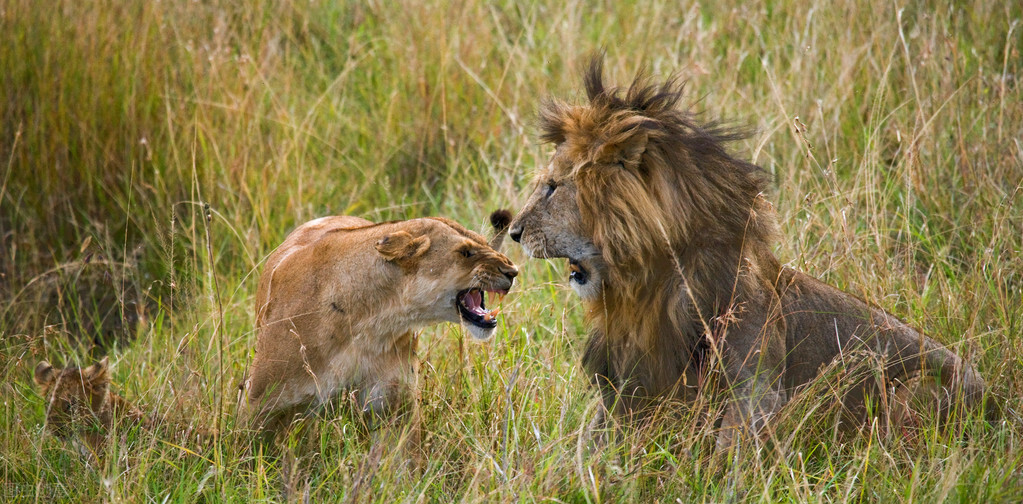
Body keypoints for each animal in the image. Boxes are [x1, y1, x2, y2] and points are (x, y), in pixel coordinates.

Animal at [241, 212, 519, 431]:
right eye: (466, 252)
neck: (369, 322)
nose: (513, 271)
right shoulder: (259, 405)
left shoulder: (394, 408)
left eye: (484, 244)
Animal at [507, 58, 986, 447]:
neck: (646, 286)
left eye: (552, 187)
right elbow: (588, 448)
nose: (512, 232)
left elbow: (730, 454)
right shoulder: (627, 382)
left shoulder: (755, 387)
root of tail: (995, 398)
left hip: (915, 388)